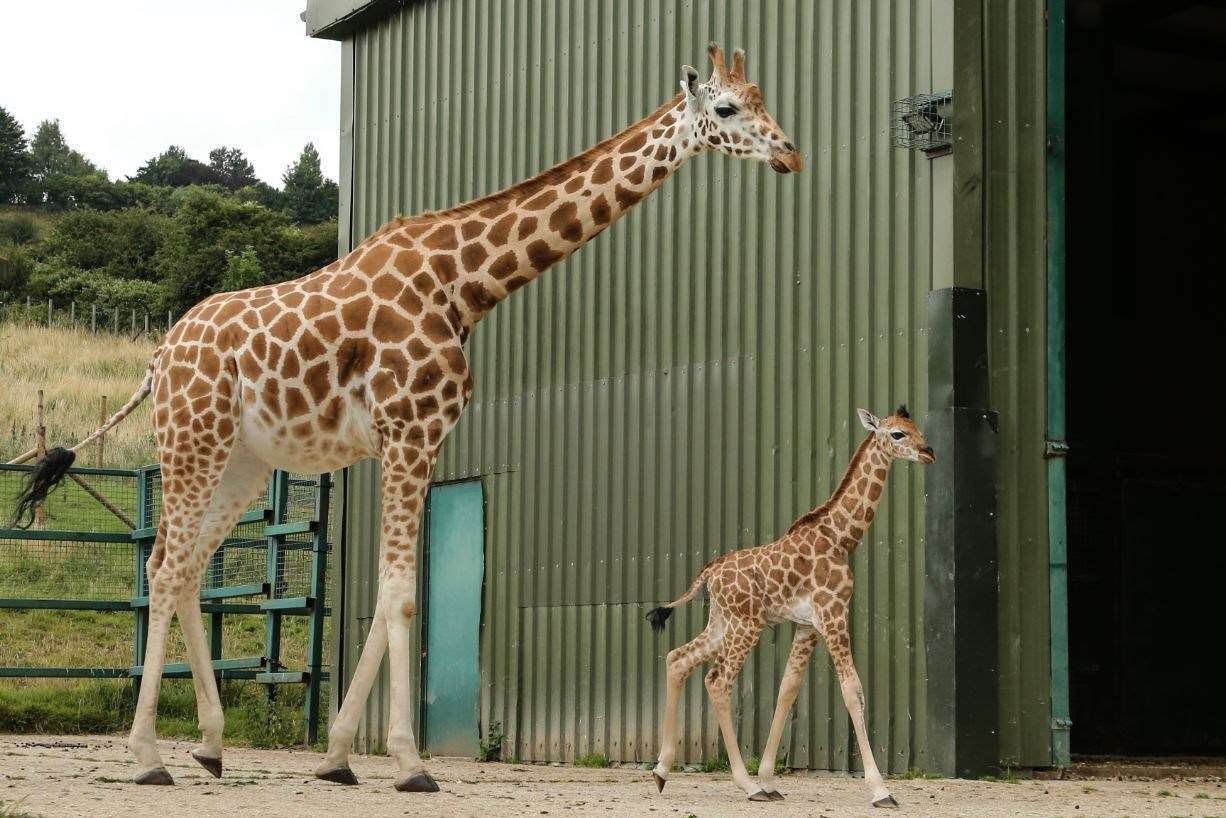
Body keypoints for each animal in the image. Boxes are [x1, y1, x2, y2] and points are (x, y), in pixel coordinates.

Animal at [16, 41, 804, 789]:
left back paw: (208, 746)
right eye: (728, 108)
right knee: (164, 565)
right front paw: (409, 763)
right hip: (193, 439)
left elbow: (386, 594)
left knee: (186, 567)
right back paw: (149, 756)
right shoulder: (409, 432)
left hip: (244, 462)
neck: (465, 283)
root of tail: (158, 357)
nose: (791, 152)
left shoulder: (418, 440)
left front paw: (340, 757)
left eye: (765, 97)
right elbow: (398, 597)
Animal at [647, 407, 931, 809]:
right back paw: (745, 785)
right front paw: (880, 791)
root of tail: (710, 572)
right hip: (745, 626)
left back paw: (661, 771)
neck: (841, 537)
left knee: (678, 659)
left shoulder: (807, 625)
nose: (928, 452)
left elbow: (788, 689)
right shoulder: (833, 613)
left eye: (917, 429)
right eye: (897, 434)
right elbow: (853, 690)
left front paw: (769, 779)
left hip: (723, 622)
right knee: (717, 681)